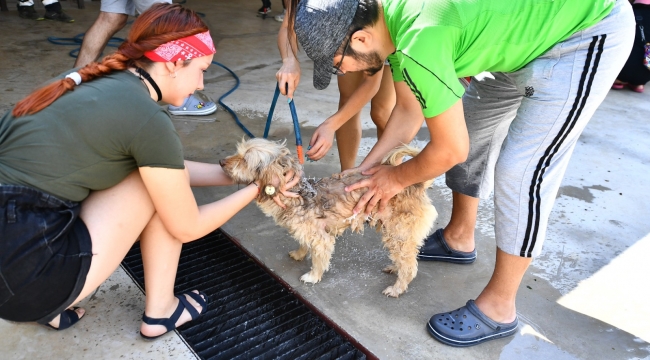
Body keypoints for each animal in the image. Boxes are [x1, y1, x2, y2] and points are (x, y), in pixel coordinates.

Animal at [218, 138, 436, 298]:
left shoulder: (322, 239)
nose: (220, 162)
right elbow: (303, 243)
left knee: (409, 266)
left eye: (245, 159)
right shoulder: (306, 231)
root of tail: (417, 185)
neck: (297, 195)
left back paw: (397, 288)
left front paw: (313, 276)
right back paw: (393, 267)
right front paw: (299, 253)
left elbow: (318, 260)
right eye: (238, 153)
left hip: (398, 234)